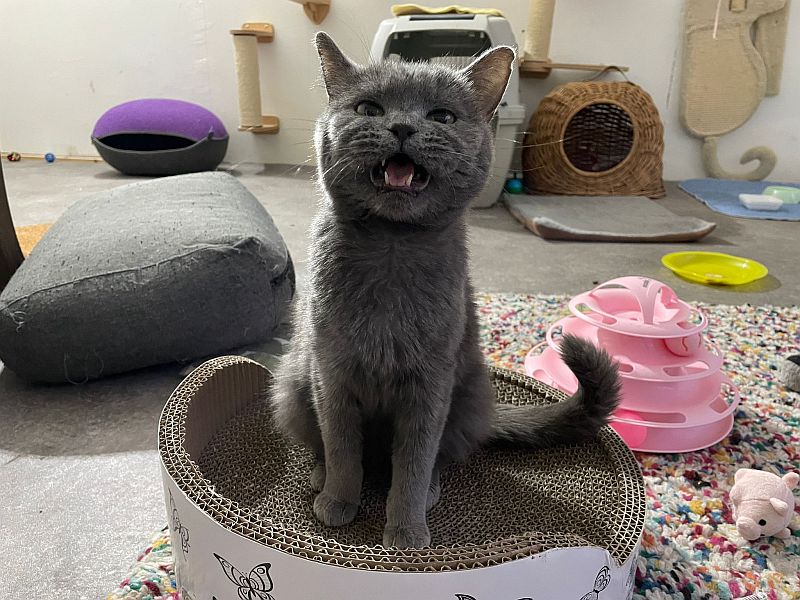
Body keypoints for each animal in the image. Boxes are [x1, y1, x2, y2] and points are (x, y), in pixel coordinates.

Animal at [270, 32, 621, 550]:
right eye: (369, 108)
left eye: (442, 117)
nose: (401, 126)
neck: (392, 250)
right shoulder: (331, 376)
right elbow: (341, 448)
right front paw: (337, 501)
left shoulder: (430, 385)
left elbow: (414, 462)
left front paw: (405, 530)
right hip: (292, 384)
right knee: (328, 446)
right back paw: (320, 477)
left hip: (469, 394)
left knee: (437, 456)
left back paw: (431, 492)